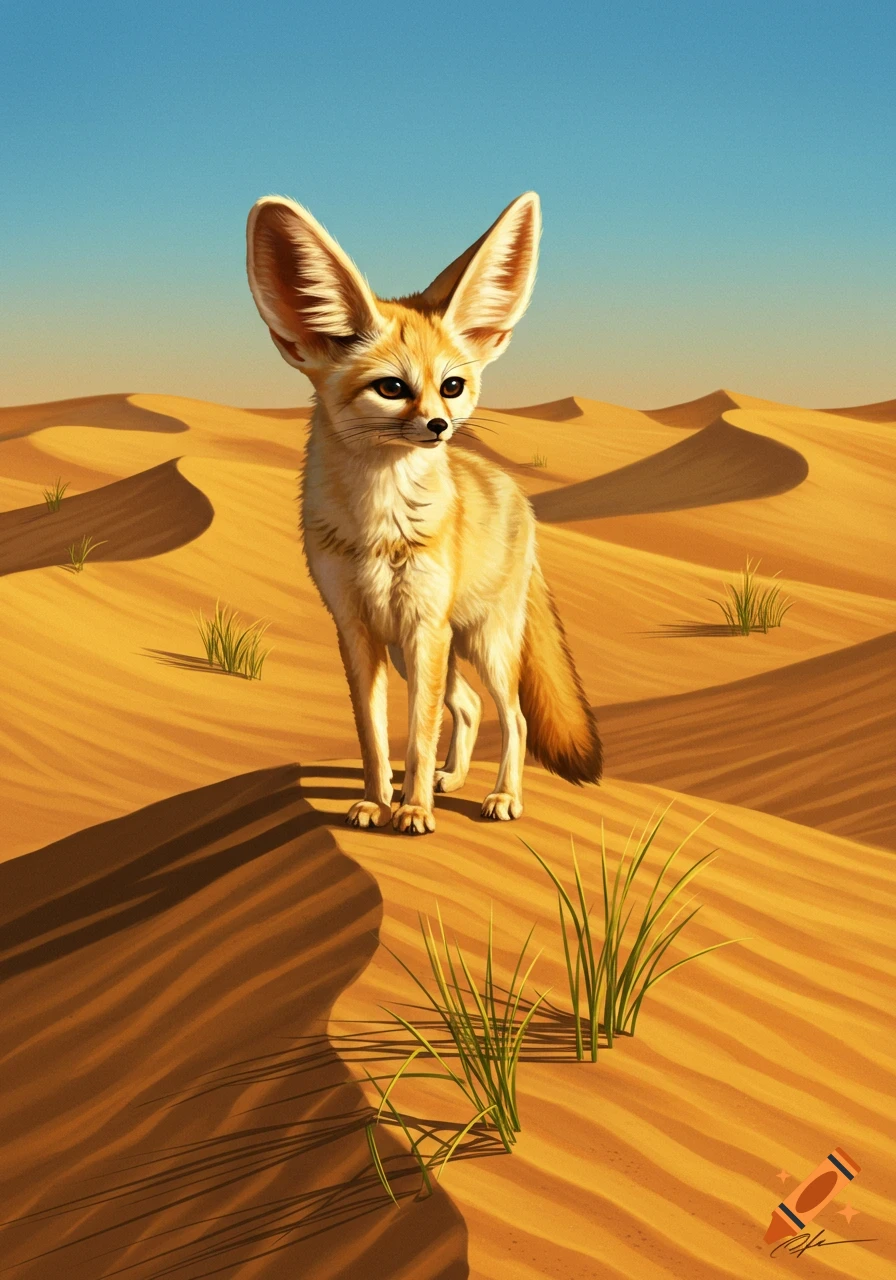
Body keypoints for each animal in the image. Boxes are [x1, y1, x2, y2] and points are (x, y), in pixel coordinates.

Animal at [246, 190, 602, 835]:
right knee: (469, 706)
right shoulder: (356, 628)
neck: (380, 527)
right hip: (424, 650)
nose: (439, 426)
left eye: (452, 386)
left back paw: (501, 796)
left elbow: (416, 734)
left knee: (513, 716)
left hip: (481, 640)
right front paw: (374, 801)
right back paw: (452, 778)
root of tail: (513, 489)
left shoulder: (422, 624)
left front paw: (411, 810)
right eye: (392, 388)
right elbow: (374, 735)